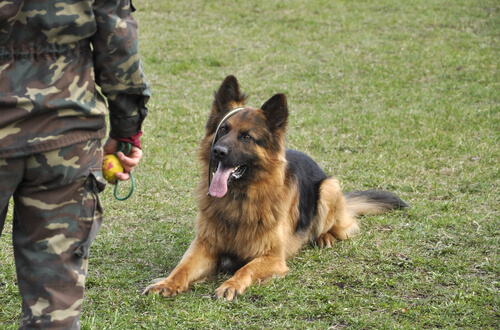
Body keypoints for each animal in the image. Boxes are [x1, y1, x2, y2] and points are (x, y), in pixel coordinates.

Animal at [143, 76, 408, 300]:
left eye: (247, 137)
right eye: (223, 130)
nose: (218, 152)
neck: (239, 198)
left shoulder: (272, 257)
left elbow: (246, 269)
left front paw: (231, 284)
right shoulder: (205, 245)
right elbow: (183, 267)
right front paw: (166, 283)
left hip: (329, 187)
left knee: (344, 227)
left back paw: (324, 236)